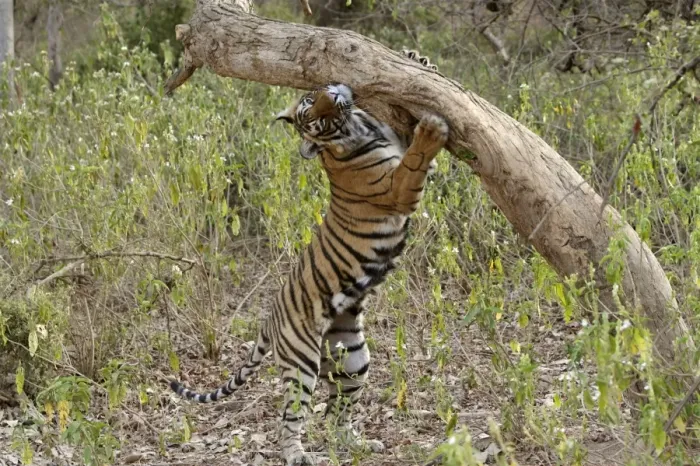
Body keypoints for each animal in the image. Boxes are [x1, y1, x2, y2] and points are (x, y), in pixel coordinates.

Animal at [169, 51, 447, 465]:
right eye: (316, 117)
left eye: (310, 100)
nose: (336, 94)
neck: (357, 128)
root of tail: (269, 320)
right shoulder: (398, 190)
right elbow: (415, 157)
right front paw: (432, 128)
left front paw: (419, 60)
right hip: (301, 363)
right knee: (290, 417)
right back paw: (297, 454)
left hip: (352, 357)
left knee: (336, 413)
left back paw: (359, 444)